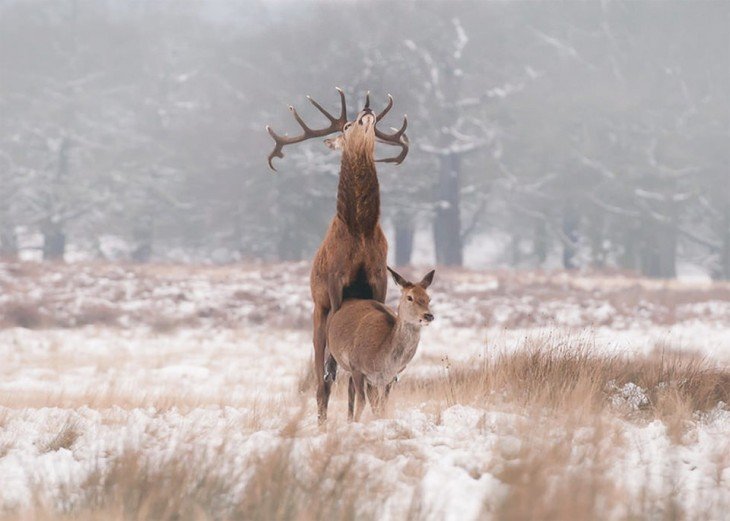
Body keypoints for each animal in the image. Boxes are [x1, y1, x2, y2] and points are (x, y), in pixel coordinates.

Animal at [264, 89, 406, 422]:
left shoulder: (378, 278)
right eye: (346, 125)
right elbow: (334, 372)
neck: (360, 230)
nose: (367, 109)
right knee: (321, 382)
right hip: (317, 314)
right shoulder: (334, 279)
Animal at [324, 266, 432, 420]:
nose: (428, 315)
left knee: (352, 388)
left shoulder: (389, 378)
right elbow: (362, 401)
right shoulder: (357, 367)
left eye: (429, 298)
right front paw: (356, 423)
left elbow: (382, 406)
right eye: (410, 297)